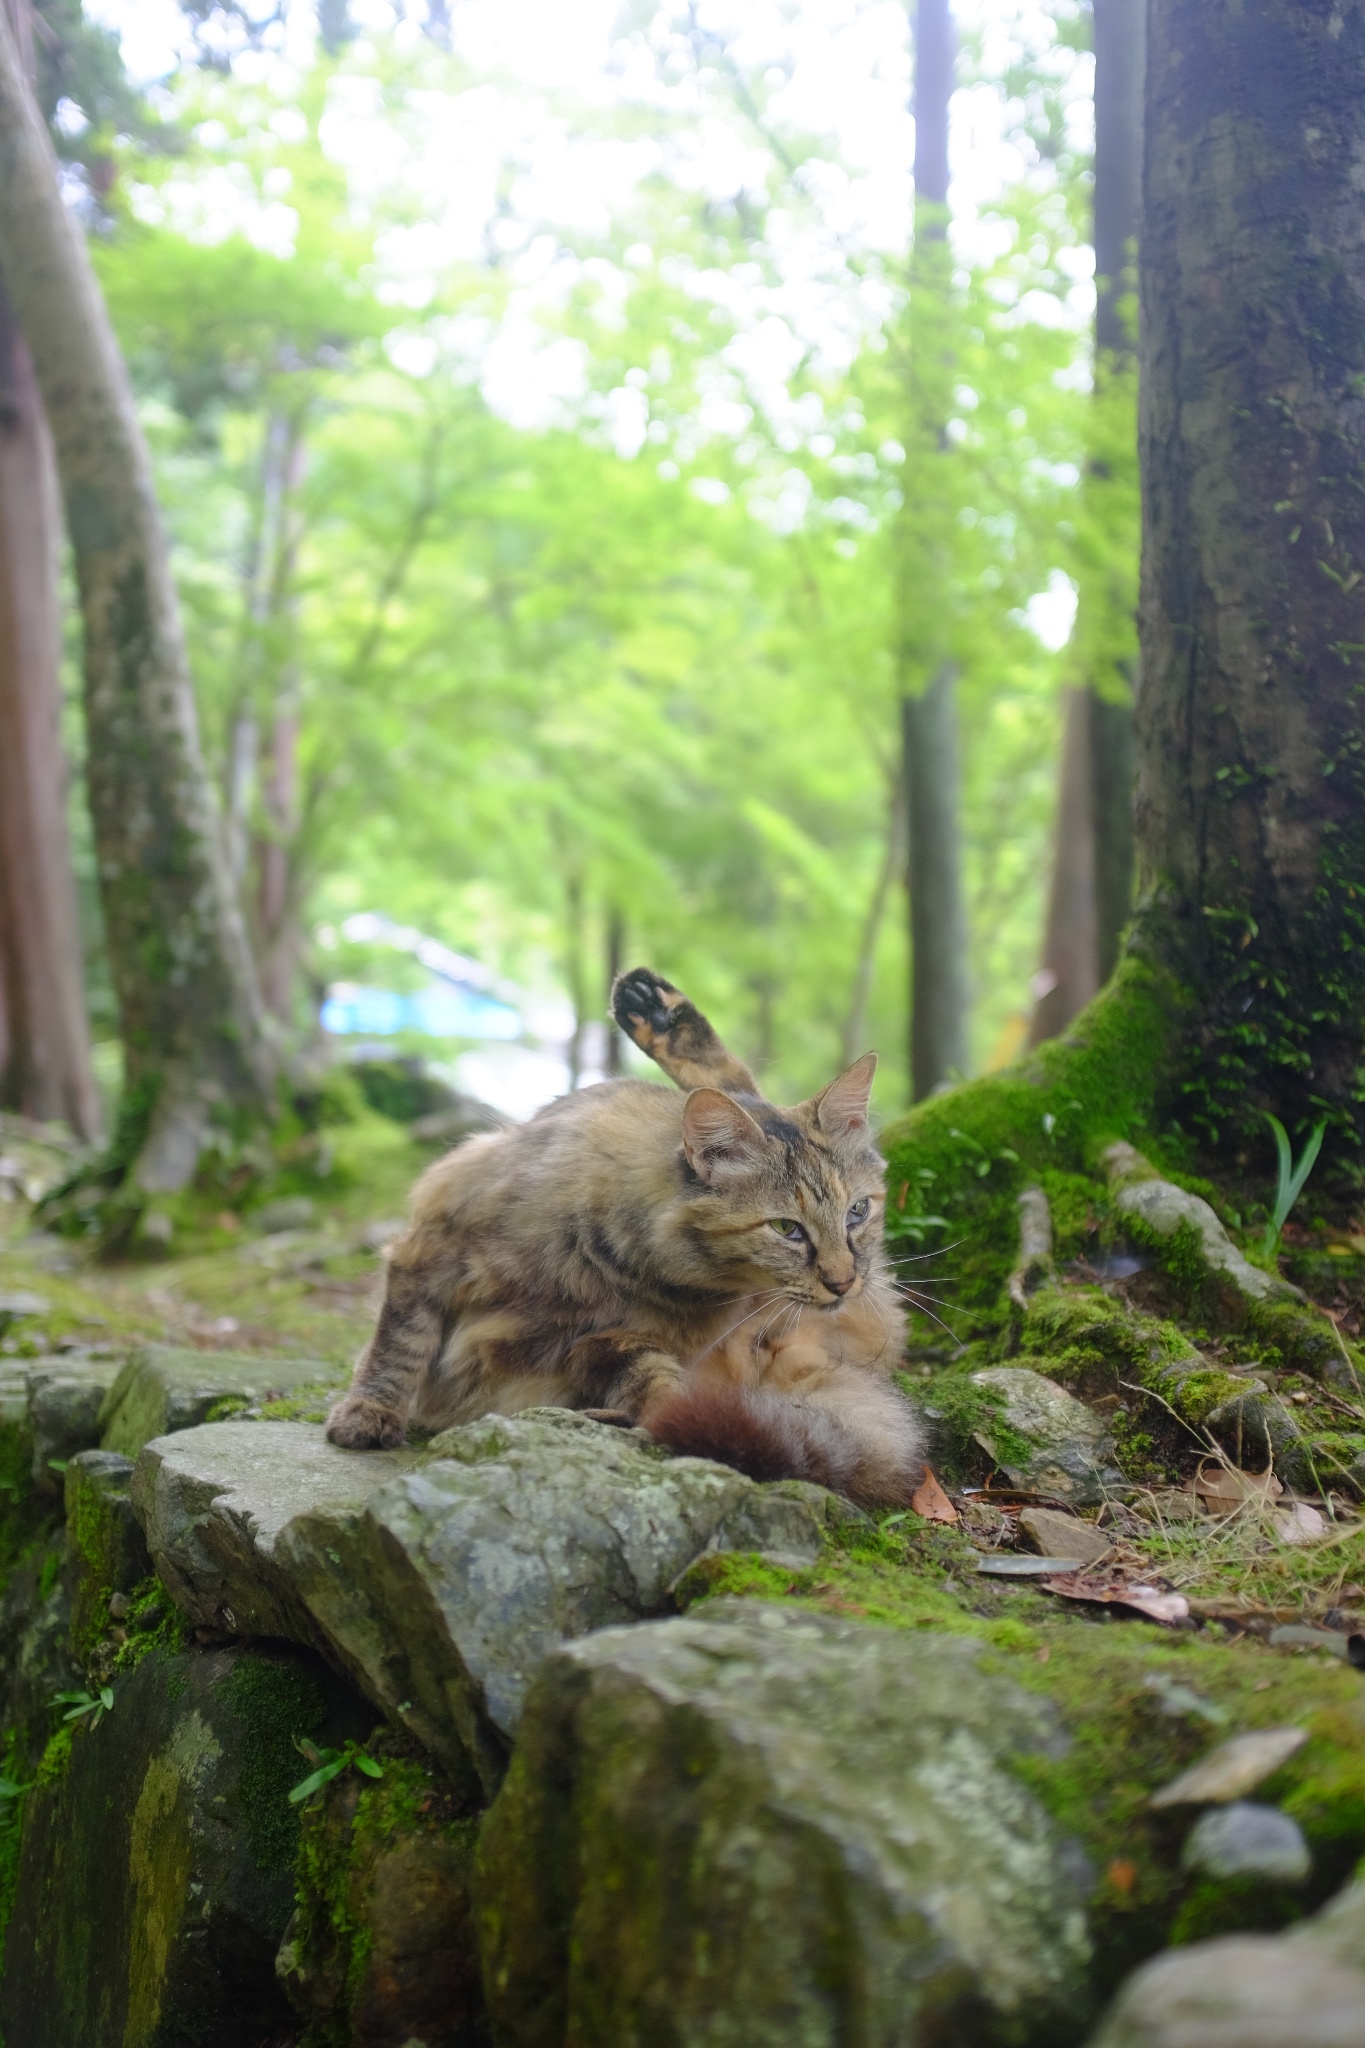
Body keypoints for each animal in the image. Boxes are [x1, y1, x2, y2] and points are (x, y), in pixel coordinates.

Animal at [327, 958, 929, 1507]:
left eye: (857, 1212)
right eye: (788, 1229)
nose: (844, 1281)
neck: (612, 1260)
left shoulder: (606, 1342)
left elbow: (661, 1393)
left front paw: (645, 1419)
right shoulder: (431, 1251)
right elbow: (400, 1346)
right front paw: (369, 1413)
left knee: (743, 1087)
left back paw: (654, 1008)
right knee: (740, 1088)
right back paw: (650, 1004)